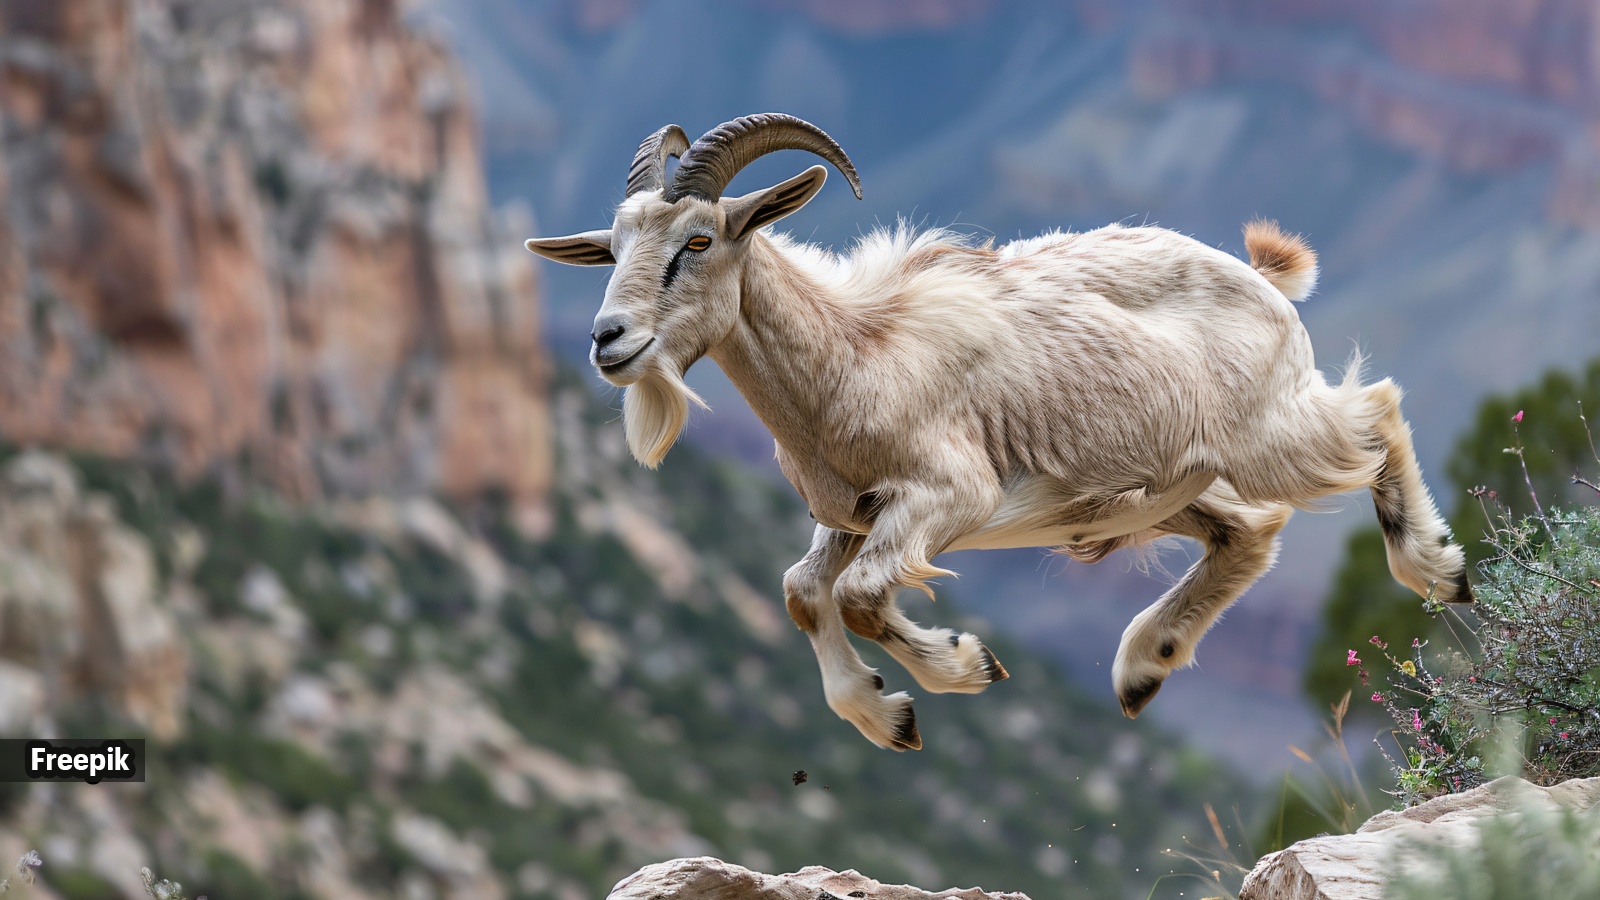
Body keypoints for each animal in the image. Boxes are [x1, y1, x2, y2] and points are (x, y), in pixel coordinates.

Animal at [526, 113, 1471, 751]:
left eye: (697, 241)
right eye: (611, 251)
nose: (609, 340)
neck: (855, 355)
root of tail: (1266, 280)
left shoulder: (952, 495)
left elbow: (861, 597)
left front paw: (962, 665)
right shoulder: (853, 513)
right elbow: (803, 589)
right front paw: (887, 715)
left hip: (1270, 433)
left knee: (1376, 410)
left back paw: (1437, 568)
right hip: (1158, 489)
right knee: (1249, 532)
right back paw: (1144, 665)